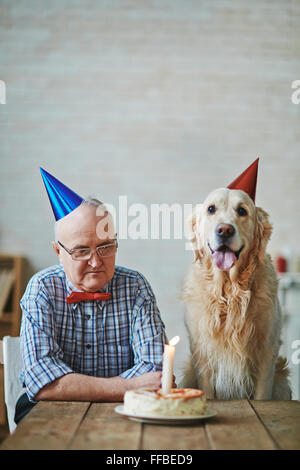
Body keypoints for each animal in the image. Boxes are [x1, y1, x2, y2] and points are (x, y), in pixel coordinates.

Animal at [180, 187, 290, 400]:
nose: (224, 230)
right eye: (211, 209)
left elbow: (262, 395)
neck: (229, 292)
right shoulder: (202, 353)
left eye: (242, 211)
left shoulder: (267, 351)